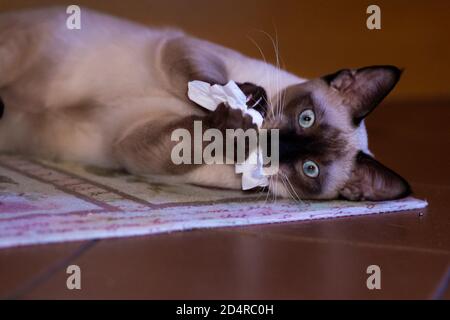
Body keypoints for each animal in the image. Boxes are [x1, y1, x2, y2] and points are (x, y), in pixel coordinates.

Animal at [0, 6, 412, 200]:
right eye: (306, 117)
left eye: (309, 169)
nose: (274, 144)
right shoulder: (184, 49)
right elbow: (206, 83)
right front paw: (240, 103)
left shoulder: (132, 145)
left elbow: (192, 134)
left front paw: (228, 123)